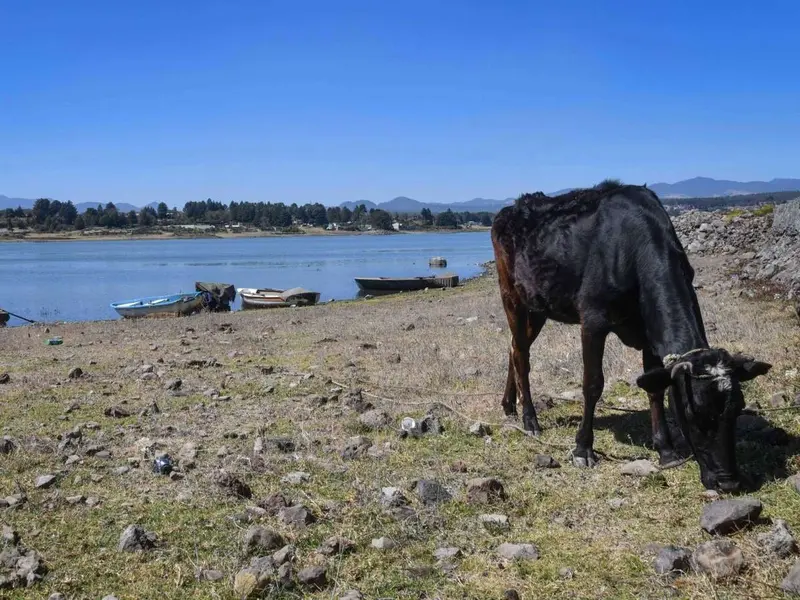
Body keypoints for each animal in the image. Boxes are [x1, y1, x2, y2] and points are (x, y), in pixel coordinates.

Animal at [490, 180, 772, 490]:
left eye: (737, 409)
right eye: (693, 412)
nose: (728, 483)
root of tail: (509, 209)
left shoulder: (649, 333)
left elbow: (654, 387)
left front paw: (666, 450)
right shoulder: (593, 319)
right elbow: (593, 384)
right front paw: (583, 449)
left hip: (538, 305)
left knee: (514, 347)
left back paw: (509, 405)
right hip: (511, 296)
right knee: (521, 355)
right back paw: (530, 420)